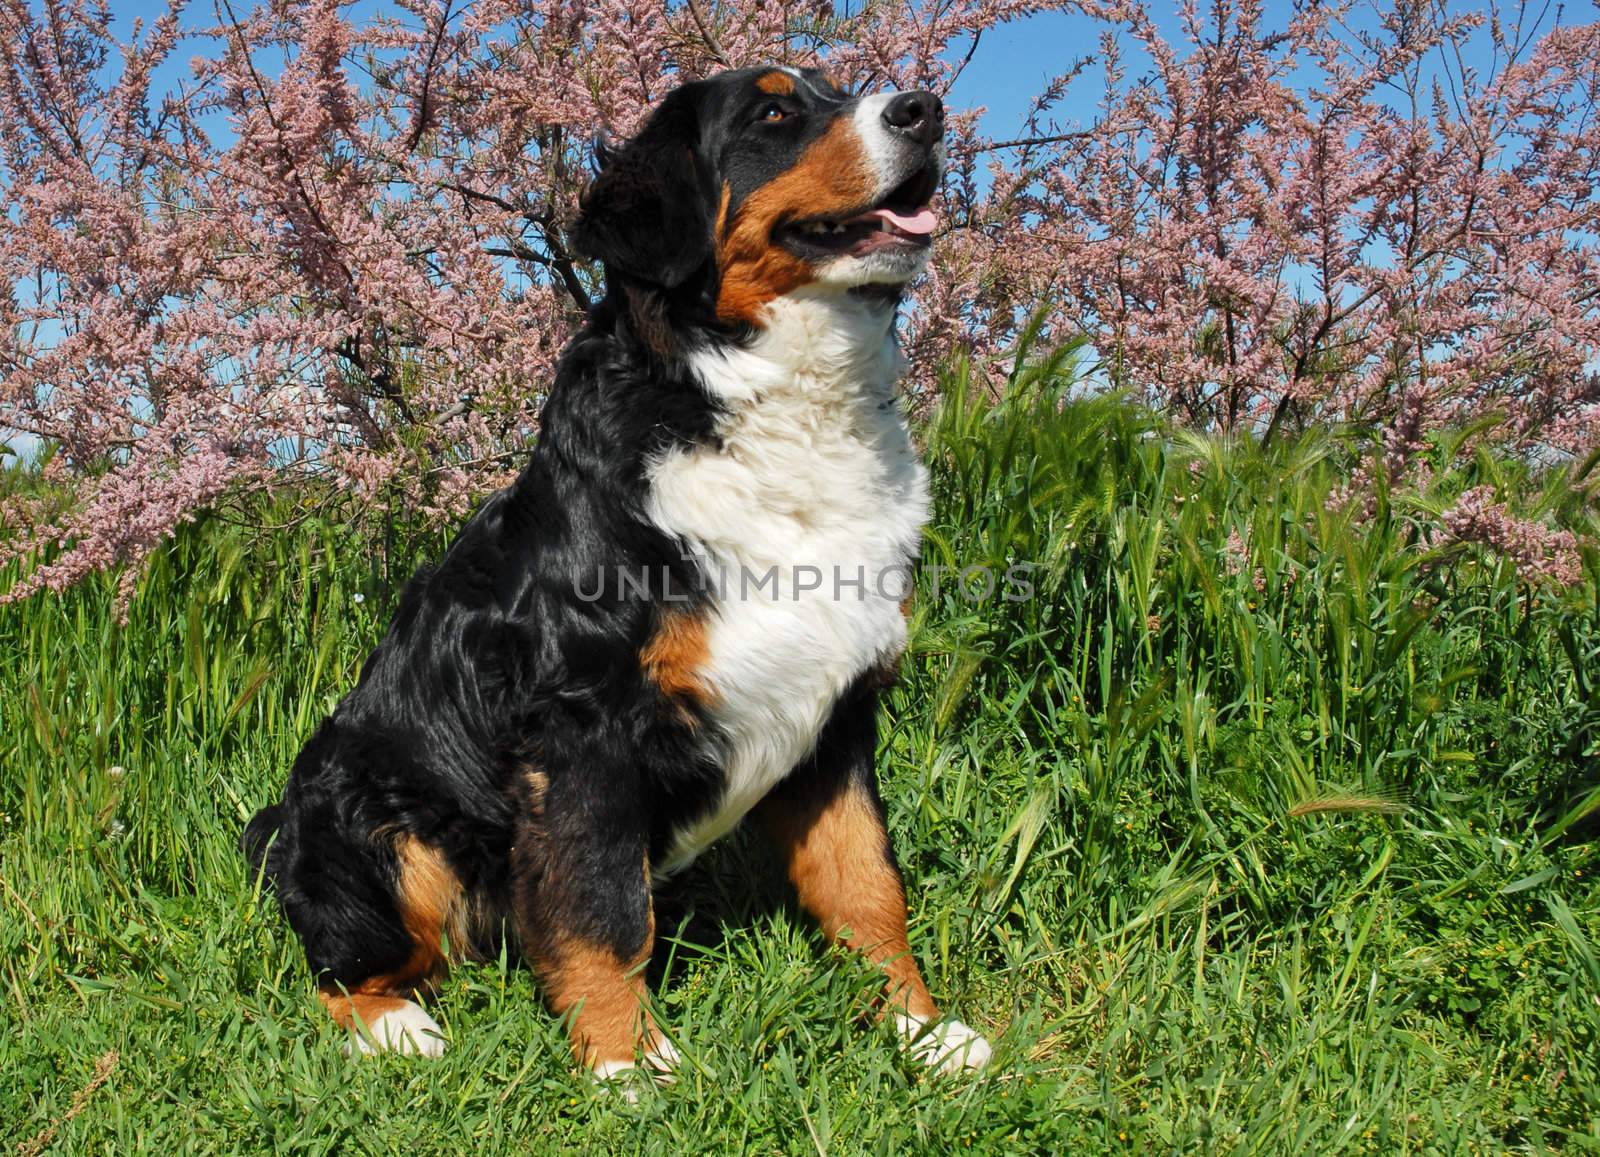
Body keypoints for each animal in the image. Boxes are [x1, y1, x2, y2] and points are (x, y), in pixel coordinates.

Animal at [240, 61, 985, 1075]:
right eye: (776, 112)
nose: (924, 109)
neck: (771, 411)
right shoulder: (582, 730)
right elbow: (601, 910)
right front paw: (628, 1063)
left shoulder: (837, 714)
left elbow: (867, 882)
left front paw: (921, 1030)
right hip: (375, 820)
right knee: (341, 964)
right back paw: (398, 1027)